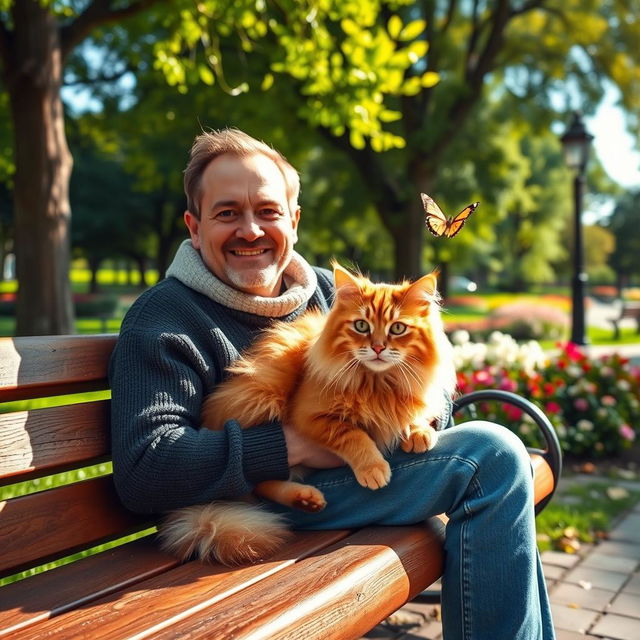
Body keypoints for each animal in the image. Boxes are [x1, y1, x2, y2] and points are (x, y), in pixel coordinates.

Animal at [162, 264, 458, 564]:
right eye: (361, 326)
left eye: (398, 328)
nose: (377, 348)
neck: (379, 384)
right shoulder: (308, 416)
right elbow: (354, 436)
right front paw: (373, 468)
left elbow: (412, 415)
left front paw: (419, 432)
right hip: (263, 390)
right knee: (258, 482)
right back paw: (306, 497)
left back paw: (307, 499)